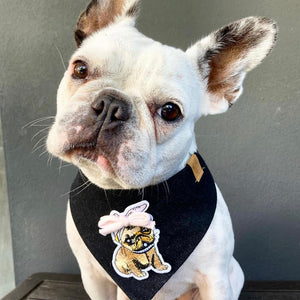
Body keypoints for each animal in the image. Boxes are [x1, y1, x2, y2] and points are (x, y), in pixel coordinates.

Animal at [45, 0, 278, 300]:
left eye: (170, 111)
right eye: (80, 69)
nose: (111, 105)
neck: (122, 195)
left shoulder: (215, 280)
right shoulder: (94, 278)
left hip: (233, 274)